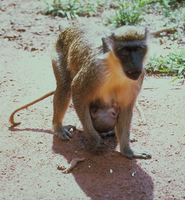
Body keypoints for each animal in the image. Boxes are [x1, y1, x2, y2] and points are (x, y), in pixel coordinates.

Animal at [9, 23, 151, 159]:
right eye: (125, 51)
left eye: (138, 49)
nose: (135, 62)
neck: (115, 68)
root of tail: (68, 28)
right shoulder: (93, 72)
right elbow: (76, 92)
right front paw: (94, 139)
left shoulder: (138, 77)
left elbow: (126, 108)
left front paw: (127, 151)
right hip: (57, 52)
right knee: (64, 87)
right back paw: (58, 126)